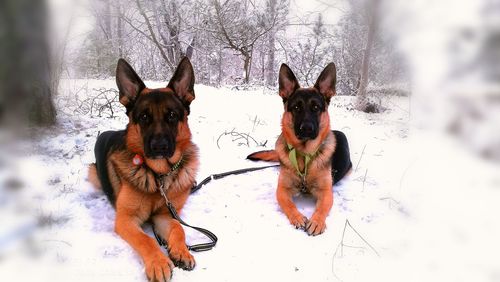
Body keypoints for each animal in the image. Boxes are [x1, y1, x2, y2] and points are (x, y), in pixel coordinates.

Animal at [89, 58, 198, 280]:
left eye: (172, 115)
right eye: (144, 117)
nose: (159, 147)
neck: (159, 175)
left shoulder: (165, 215)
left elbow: (178, 227)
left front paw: (182, 251)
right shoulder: (126, 220)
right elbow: (146, 239)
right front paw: (158, 262)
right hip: (92, 173)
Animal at [247, 63, 352, 236]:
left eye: (316, 108)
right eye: (296, 107)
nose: (307, 128)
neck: (304, 154)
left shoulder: (326, 192)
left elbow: (322, 208)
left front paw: (316, 222)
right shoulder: (282, 189)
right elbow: (288, 204)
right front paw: (297, 217)